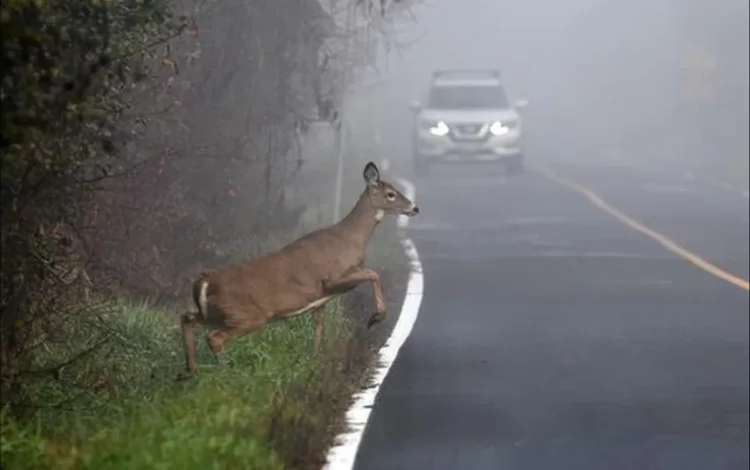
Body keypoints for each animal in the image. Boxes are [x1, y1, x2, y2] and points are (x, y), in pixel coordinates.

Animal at [180, 162, 420, 374]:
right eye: (391, 194)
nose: (415, 208)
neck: (352, 238)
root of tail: (203, 282)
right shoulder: (332, 277)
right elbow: (373, 273)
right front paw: (376, 317)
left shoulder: (322, 298)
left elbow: (318, 326)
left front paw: (314, 360)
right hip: (246, 315)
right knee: (214, 337)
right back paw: (228, 371)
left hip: (215, 314)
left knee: (187, 319)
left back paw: (191, 371)